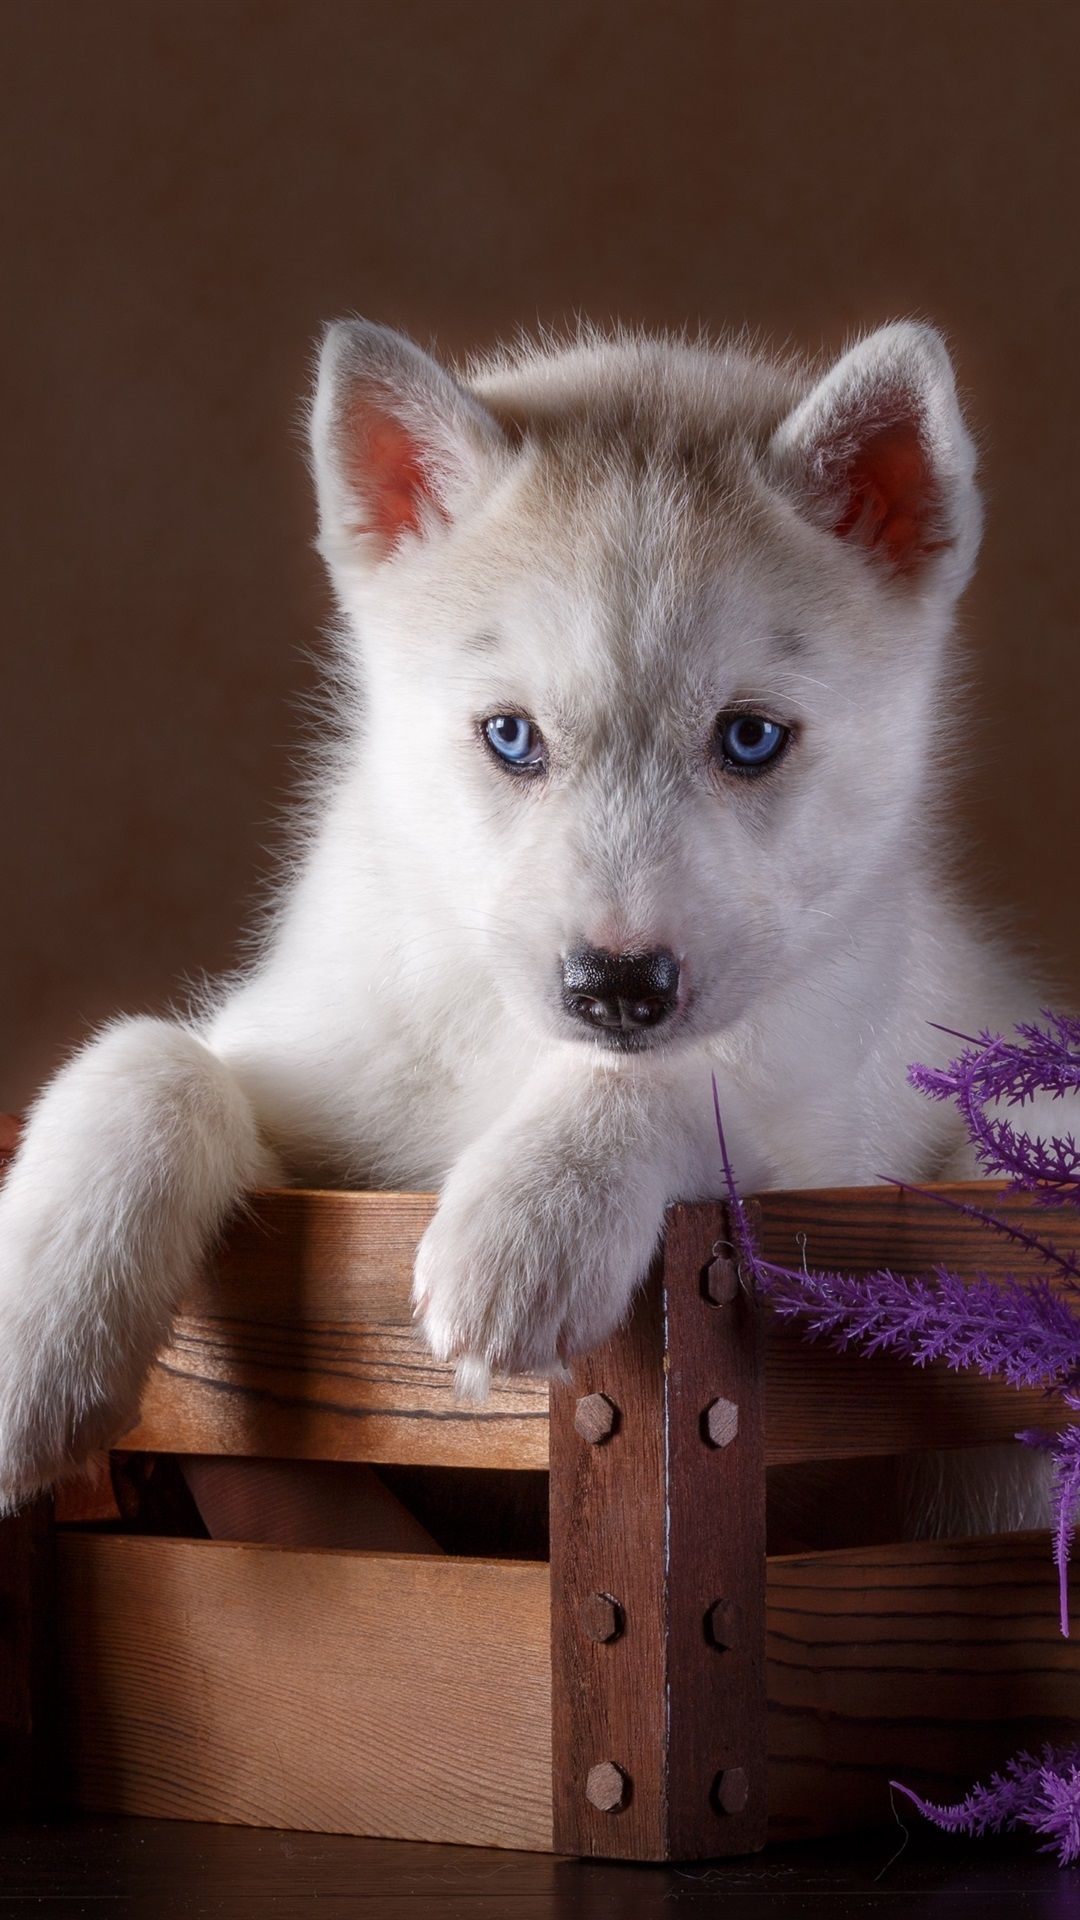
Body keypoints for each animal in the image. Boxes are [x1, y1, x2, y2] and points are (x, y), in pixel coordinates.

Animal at [0, 318, 1060, 1512]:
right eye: (511, 736)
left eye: (750, 738)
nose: (617, 990)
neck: (500, 1042)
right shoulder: (319, 1100)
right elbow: (150, 1055)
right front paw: (37, 1338)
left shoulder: (841, 1147)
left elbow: (691, 1071)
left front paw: (537, 1211)